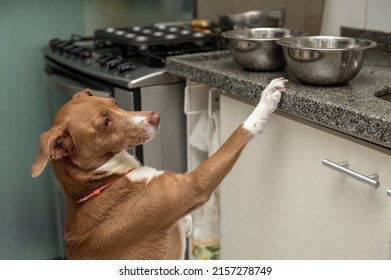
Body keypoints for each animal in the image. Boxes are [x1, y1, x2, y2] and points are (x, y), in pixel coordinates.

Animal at [31, 77, 288, 260]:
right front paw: (266, 100)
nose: (155, 116)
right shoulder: (195, 186)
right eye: (105, 123)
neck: (103, 182)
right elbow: (240, 132)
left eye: (114, 103)